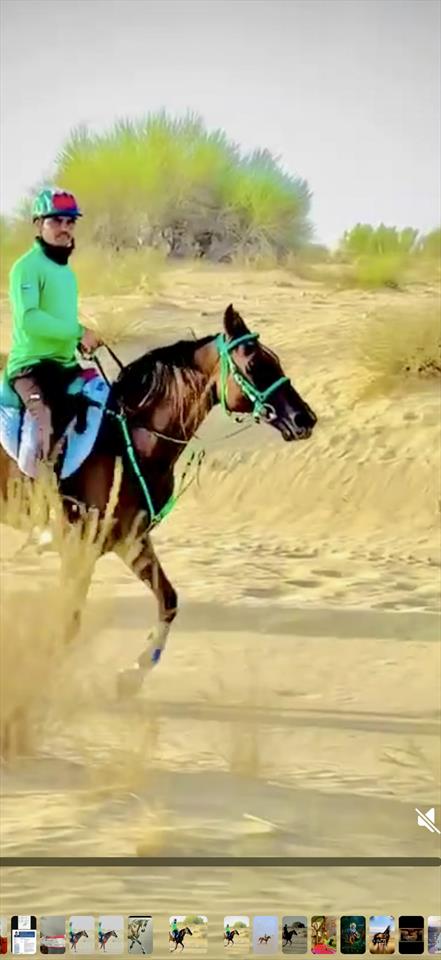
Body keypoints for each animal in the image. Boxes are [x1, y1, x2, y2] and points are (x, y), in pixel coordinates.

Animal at [0, 305, 317, 700]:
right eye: (256, 363)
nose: (305, 419)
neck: (129, 439)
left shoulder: (131, 540)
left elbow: (168, 601)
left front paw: (132, 675)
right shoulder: (80, 547)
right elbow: (69, 621)